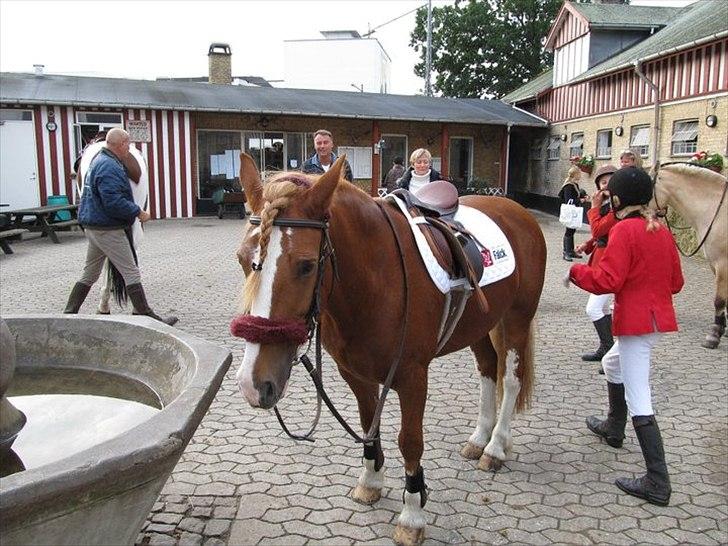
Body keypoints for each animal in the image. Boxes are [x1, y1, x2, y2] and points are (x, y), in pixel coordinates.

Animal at [233, 154, 544, 544]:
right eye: (242, 259)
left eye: (306, 265)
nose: (253, 383)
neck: (376, 279)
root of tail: (516, 209)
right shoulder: (356, 375)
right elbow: (369, 425)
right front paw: (371, 480)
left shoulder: (413, 379)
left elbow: (409, 442)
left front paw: (412, 514)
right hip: (480, 325)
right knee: (488, 371)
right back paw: (478, 438)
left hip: (516, 319)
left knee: (512, 379)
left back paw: (496, 446)